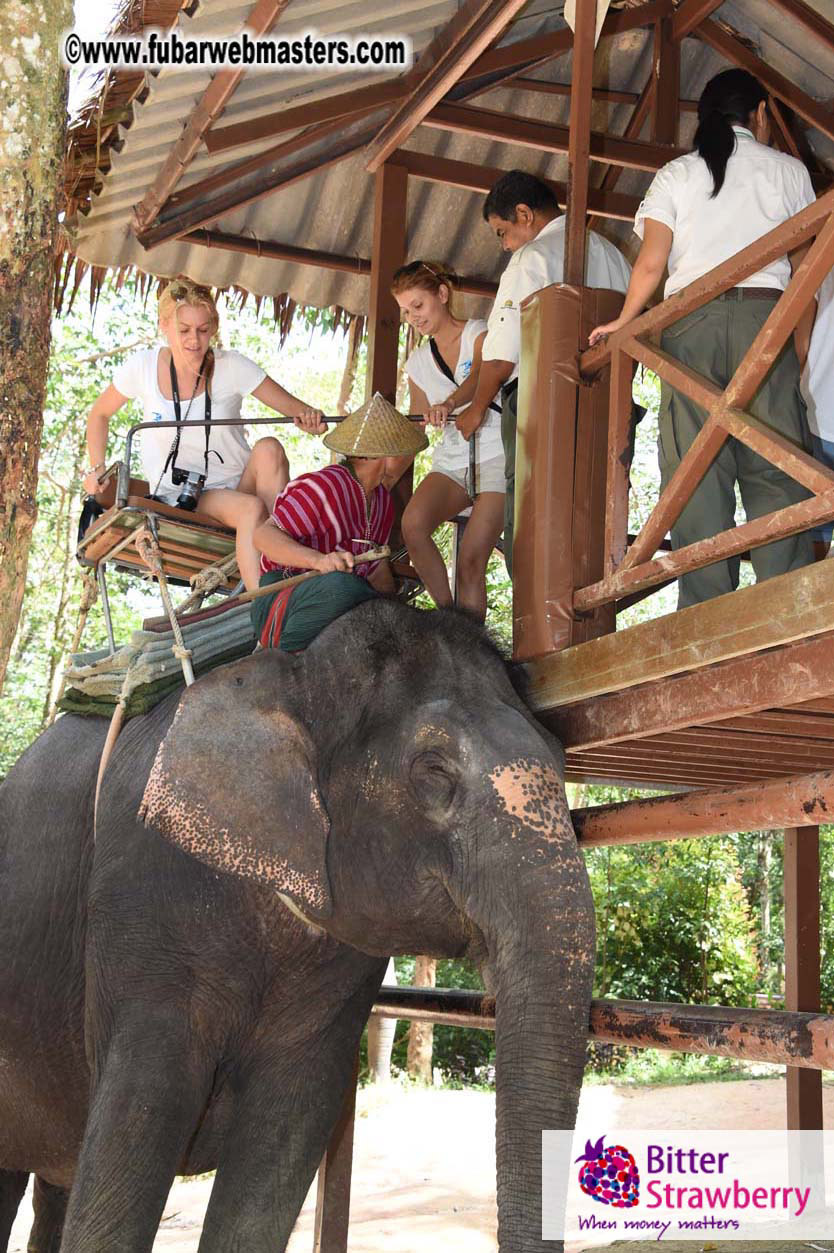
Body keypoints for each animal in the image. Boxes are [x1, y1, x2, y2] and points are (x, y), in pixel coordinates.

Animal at [0, 598, 595, 1253]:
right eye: (433, 769)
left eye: (561, 755)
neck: (296, 672)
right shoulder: (141, 900)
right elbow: (136, 1117)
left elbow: (286, 1130)